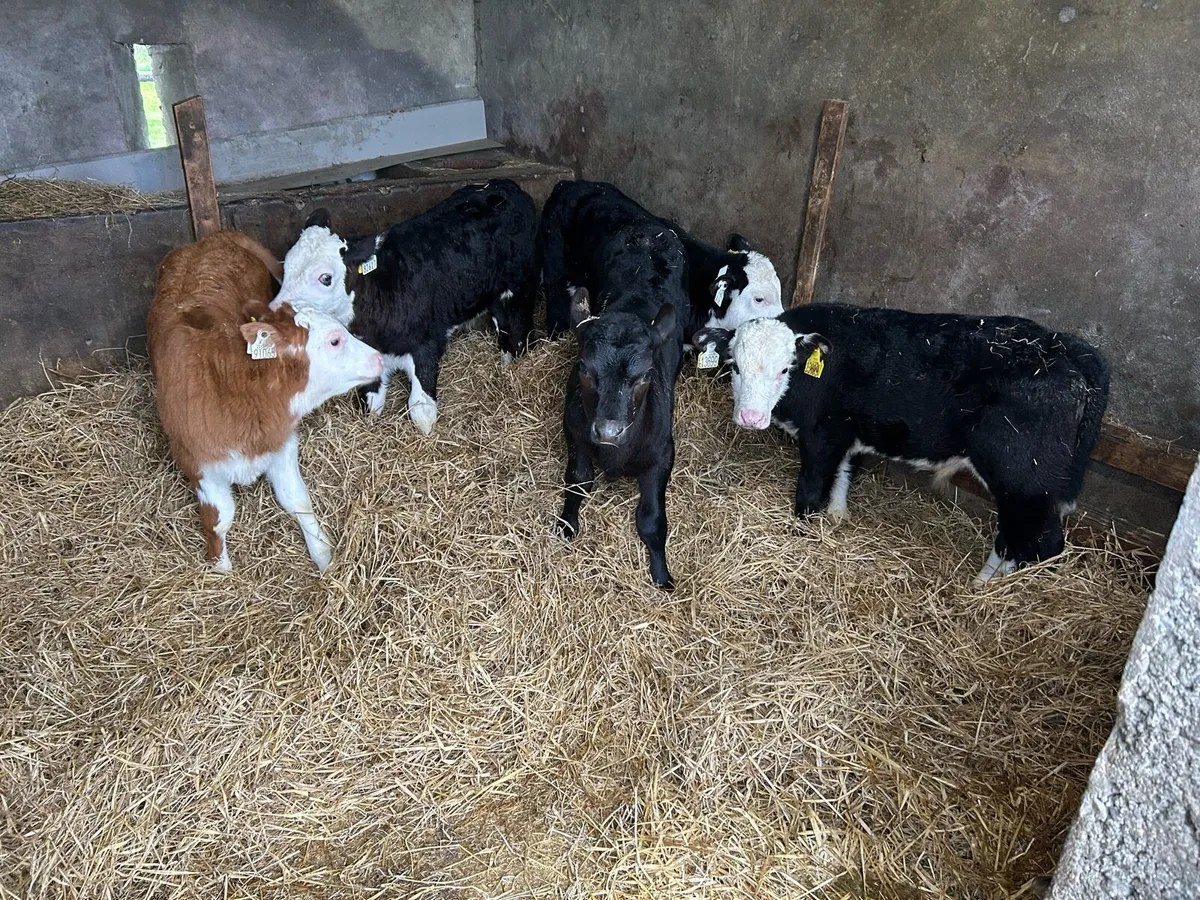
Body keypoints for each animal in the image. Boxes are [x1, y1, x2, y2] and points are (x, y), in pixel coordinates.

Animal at [147, 230, 384, 572]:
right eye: (335, 340)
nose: (379, 357)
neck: (235, 390)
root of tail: (210, 239)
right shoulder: (197, 465)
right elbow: (218, 519)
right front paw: (221, 569)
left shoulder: (281, 443)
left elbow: (297, 499)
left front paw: (323, 556)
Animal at [269, 179, 539, 434]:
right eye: (286, 267)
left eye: (325, 278)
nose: (275, 311)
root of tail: (504, 186)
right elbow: (371, 405)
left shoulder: (427, 345)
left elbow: (422, 412)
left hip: (518, 290)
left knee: (518, 336)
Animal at [556, 222, 691, 590]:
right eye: (584, 369)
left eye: (645, 375)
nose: (608, 431)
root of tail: (648, 230)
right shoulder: (575, 433)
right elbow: (577, 482)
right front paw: (566, 525)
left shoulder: (664, 452)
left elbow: (651, 519)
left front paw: (662, 574)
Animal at [694, 305, 1110, 582]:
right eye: (734, 366)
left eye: (786, 368)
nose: (750, 417)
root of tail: (1070, 348)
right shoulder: (849, 433)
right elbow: (846, 473)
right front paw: (839, 515)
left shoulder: (822, 435)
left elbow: (810, 493)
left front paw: (803, 535)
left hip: (1023, 476)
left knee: (1035, 540)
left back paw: (986, 591)